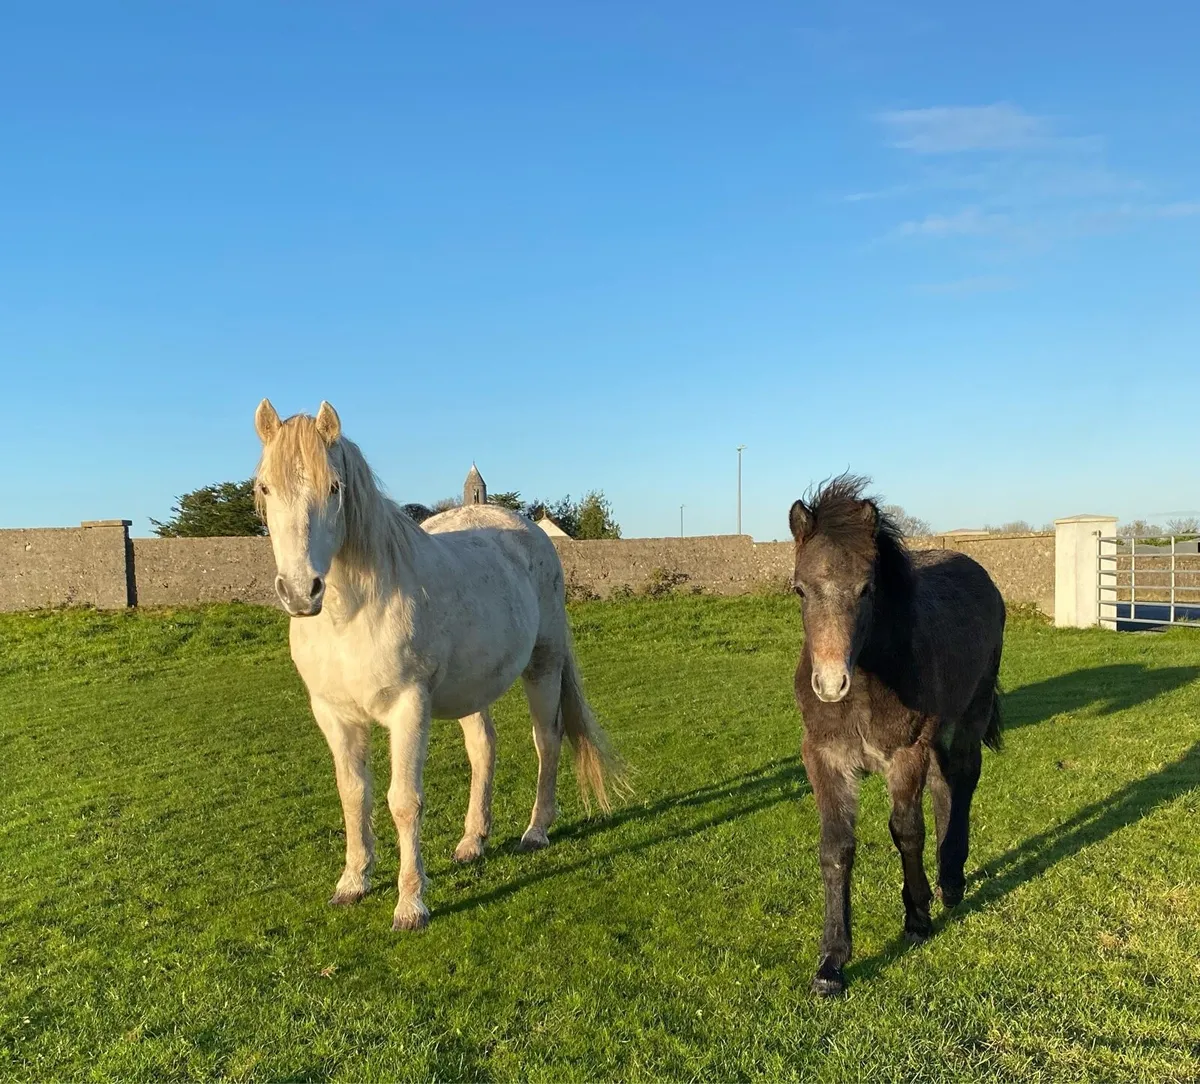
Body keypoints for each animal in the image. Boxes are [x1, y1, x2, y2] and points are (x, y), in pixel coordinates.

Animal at [253, 399, 623, 931]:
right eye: (264, 487)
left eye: (334, 487)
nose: (302, 592)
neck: (353, 613)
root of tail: (529, 529)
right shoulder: (334, 714)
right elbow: (353, 794)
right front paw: (353, 882)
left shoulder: (409, 708)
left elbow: (404, 801)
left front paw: (410, 906)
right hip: (474, 688)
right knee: (484, 749)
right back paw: (472, 841)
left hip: (544, 666)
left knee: (546, 742)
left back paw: (536, 830)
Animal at [787, 475, 1005, 996]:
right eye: (799, 589)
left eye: (867, 589)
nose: (830, 684)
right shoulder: (824, 759)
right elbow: (836, 847)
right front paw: (831, 963)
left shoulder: (906, 753)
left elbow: (907, 831)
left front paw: (917, 918)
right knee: (946, 784)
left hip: (970, 713)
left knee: (964, 779)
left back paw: (951, 880)